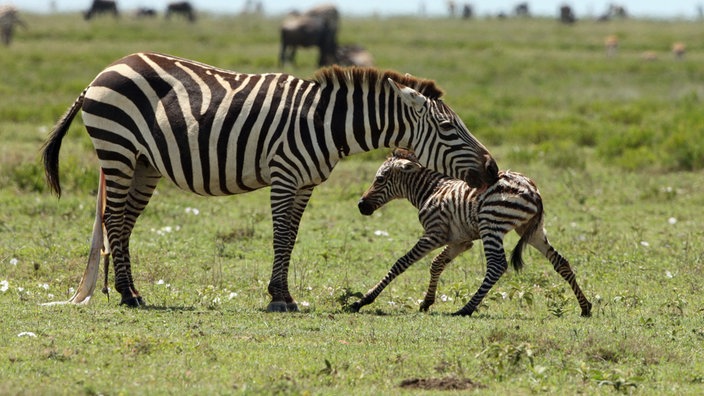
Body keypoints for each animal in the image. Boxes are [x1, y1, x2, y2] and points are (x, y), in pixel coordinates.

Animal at [42, 52, 500, 310]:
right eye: (448, 129)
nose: (494, 171)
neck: (324, 123)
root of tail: (102, 73)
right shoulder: (283, 175)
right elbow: (280, 237)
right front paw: (280, 297)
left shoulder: (305, 183)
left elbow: (292, 237)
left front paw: (284, 293)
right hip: (117, 150)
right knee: (115, 221)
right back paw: (127, 294)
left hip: (143, 163)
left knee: (123, 224)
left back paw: (129, 291)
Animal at [350, 150, 588, 318]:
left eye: (380, 179)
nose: (361, 206)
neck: (430, 190)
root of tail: (534, 191)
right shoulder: (461, 241)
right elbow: (437, 263)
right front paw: (426, 302)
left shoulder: (434, 233)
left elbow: (401, 263)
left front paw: (363, 300)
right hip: (534, 231)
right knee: (560, 261)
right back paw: (585, 306)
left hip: (491, 225)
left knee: (497, 265)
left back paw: (466, 309)